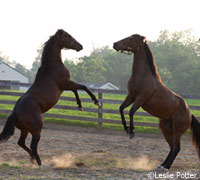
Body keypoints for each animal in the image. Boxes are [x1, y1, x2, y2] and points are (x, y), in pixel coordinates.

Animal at [0, 29, 100, 166]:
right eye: (68, 37)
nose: (80, 46)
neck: (53, 66)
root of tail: (15, 113)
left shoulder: (66, 85)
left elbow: (76, 90)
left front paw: (80, 106)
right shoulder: (66, 84)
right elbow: (83, 87)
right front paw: (96, 102)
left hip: (25, 130)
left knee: (21, 143)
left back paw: (32, 159)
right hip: (37, 129)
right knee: (32, 145)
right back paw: (41, 163)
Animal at [113, 34, 200, 170]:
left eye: (131, 39)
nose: (115, 44)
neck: (143, 76)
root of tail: (190, 114)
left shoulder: (141, 98)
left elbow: (131, 111)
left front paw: (131, 132)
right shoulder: (131, 97)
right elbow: (121, 108)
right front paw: (126, 128)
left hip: (177, 130)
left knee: (176, 147)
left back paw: (166, 166)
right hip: (166, 129)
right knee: (172, 147)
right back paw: (163, 165)